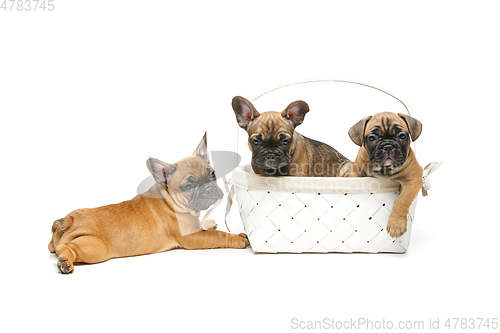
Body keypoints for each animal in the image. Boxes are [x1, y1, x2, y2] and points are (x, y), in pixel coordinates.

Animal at [48, 132, 248, 272]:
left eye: (212, 174)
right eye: (188, 186)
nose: (209, 188)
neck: (170, 199)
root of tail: (68, 220)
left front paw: (210, 222)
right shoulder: (192, 237)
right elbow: (218, 235)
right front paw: (238, 238)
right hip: (95, 247)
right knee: (67, 248)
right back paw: (65, 262)